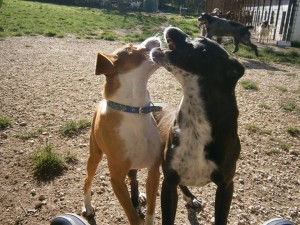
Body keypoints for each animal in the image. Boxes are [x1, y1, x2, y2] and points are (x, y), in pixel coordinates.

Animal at [82, 37, 163, 225]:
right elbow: (132, 216)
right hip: (94, 155)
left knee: (134, 178)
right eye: (131, 48)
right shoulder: (117, 180)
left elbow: (151, 211)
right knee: (87, 180)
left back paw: (138, 196)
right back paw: (88, 206)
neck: (134, 111)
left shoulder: (154, 171)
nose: (156, 38)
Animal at [151, 26, 245, 225]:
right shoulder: (168, 183)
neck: (197, 122)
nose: (173, 27)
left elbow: (221, 218)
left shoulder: (226, 185)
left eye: (200, 41)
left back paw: (191, 197)